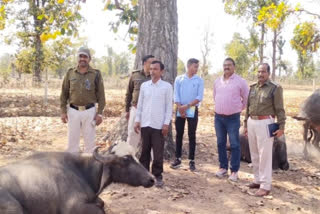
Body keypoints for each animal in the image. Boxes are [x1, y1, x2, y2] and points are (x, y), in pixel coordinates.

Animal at [0, 141, 155, 213]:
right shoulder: (74, 207)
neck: (81, 171)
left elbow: (102, 203)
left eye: (135, 156)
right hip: (14, 208)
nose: (151, 179)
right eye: (125, 159)